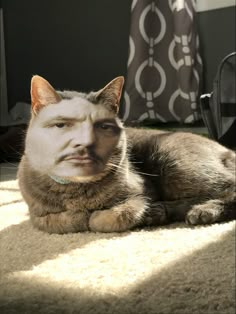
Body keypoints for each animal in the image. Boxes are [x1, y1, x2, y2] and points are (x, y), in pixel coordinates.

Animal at [17, 75, 236, 233]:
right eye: (61, 125)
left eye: (102, 127)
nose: (83, 144)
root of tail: (226, 150)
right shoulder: (35, 212)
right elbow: (56, 221)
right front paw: (79, 216)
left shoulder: (141, 190)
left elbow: (112, 217)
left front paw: (94, 217)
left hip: (175, 162)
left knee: (230, 187)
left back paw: (202, 211)